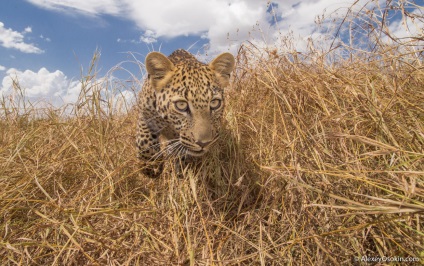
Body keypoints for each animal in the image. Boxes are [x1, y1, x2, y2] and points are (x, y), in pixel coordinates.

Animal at [136, 49, 235, 179]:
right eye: (181, 105)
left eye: (214, 103)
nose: (203, 143)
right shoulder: (144, 112)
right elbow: (144, 141)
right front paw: (151, 167)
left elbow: (181, 154)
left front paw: (178, 172)